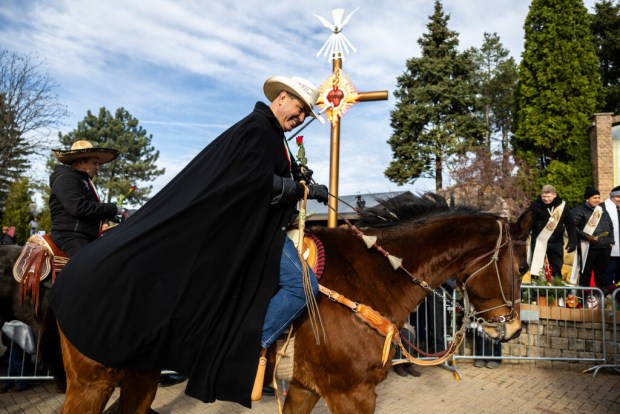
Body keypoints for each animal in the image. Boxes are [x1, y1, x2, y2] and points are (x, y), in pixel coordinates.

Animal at [9, 194, 532, 414]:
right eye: (519, 263)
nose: (511, 328)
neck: (372, 276)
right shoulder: (352, 393)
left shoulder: (305, 387)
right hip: (90, 383)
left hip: (139, 378)